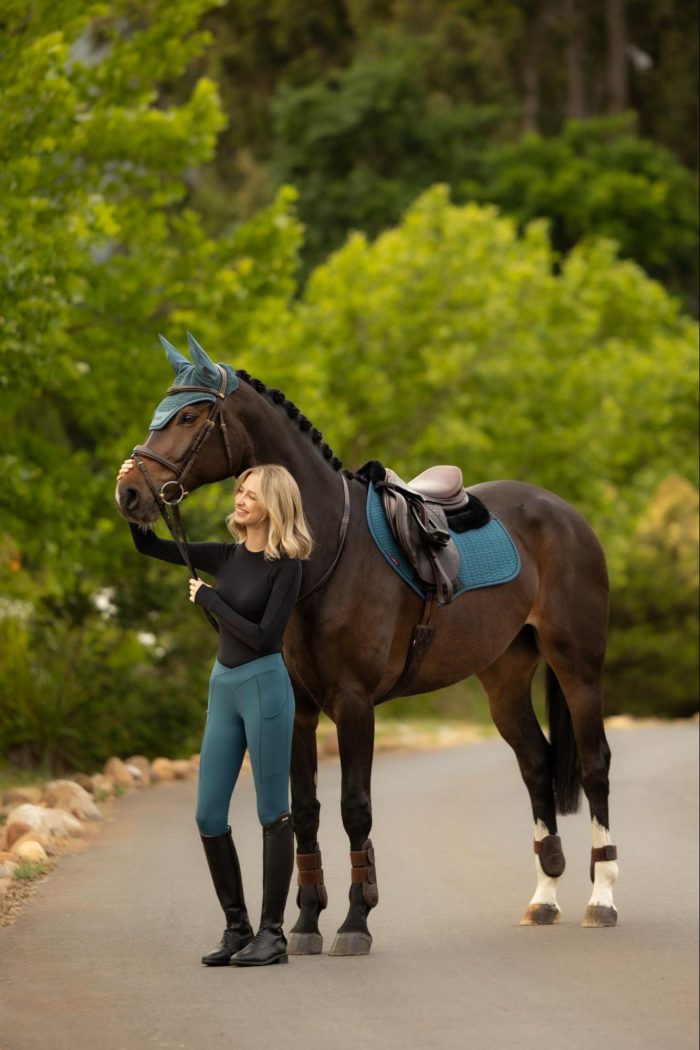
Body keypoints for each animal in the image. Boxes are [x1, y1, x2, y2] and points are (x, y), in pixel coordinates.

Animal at [115, 334, 619, 955]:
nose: (129, 491)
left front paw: (355, 921)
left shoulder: (355, 704)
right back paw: (544, 897)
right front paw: (306, 922)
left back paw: (602, 900)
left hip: (578, 665)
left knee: (594, 765)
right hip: (504, 678)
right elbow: (305, 810)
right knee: (536, 763)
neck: (323, 547)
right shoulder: (300, 708)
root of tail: (566, 513)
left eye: (188, 415)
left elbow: (355, 807)